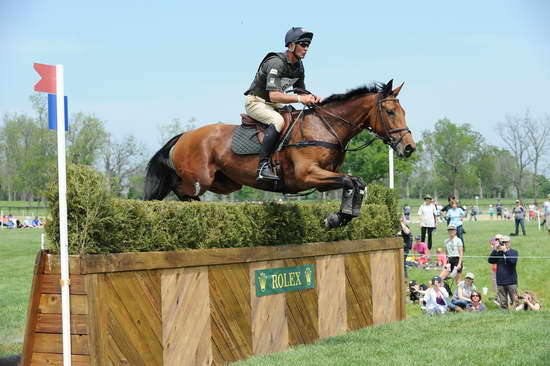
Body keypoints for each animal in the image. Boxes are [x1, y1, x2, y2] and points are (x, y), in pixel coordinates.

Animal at [144, 79, 416, 227]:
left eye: (404, 111)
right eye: (390, 112)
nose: (409, 147)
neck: (325, 126)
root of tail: (184, 136)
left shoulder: (323, 179)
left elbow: (356, 182)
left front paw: (341, 217)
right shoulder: (308, 175)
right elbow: (351, 181)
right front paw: (337, 218)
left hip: (225, 183)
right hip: (199, 179)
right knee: (180, 189)